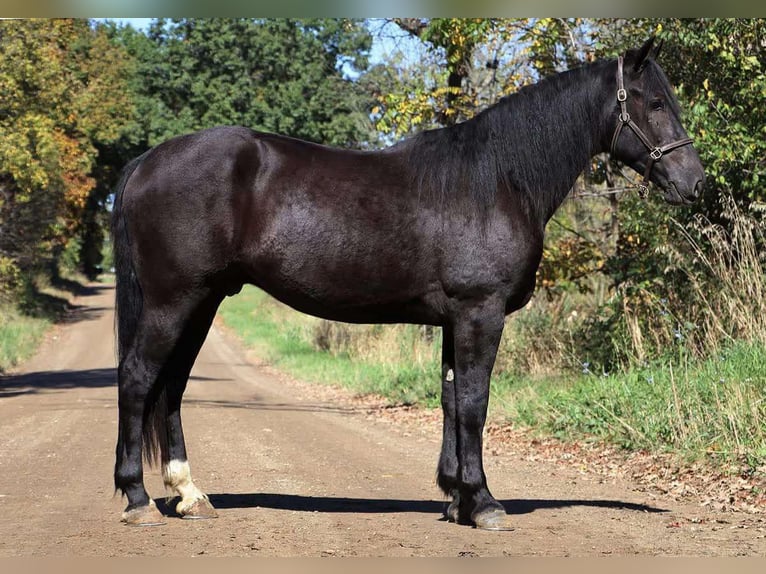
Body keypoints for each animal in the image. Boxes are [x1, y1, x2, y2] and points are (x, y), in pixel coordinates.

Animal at [111, 39, 704, 532]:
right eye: (654, 103)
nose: (695, 183)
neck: (497, 180)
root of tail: (147, 162)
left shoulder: (454, 319)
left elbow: (450, 400)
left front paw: (456, 499)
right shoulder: (480, 312)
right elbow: (474, 402)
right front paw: (483, 503)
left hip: (203, 301)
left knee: (172, 386)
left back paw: (189, 495)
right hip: (174, 300)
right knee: (139, 378)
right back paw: (137, 499)